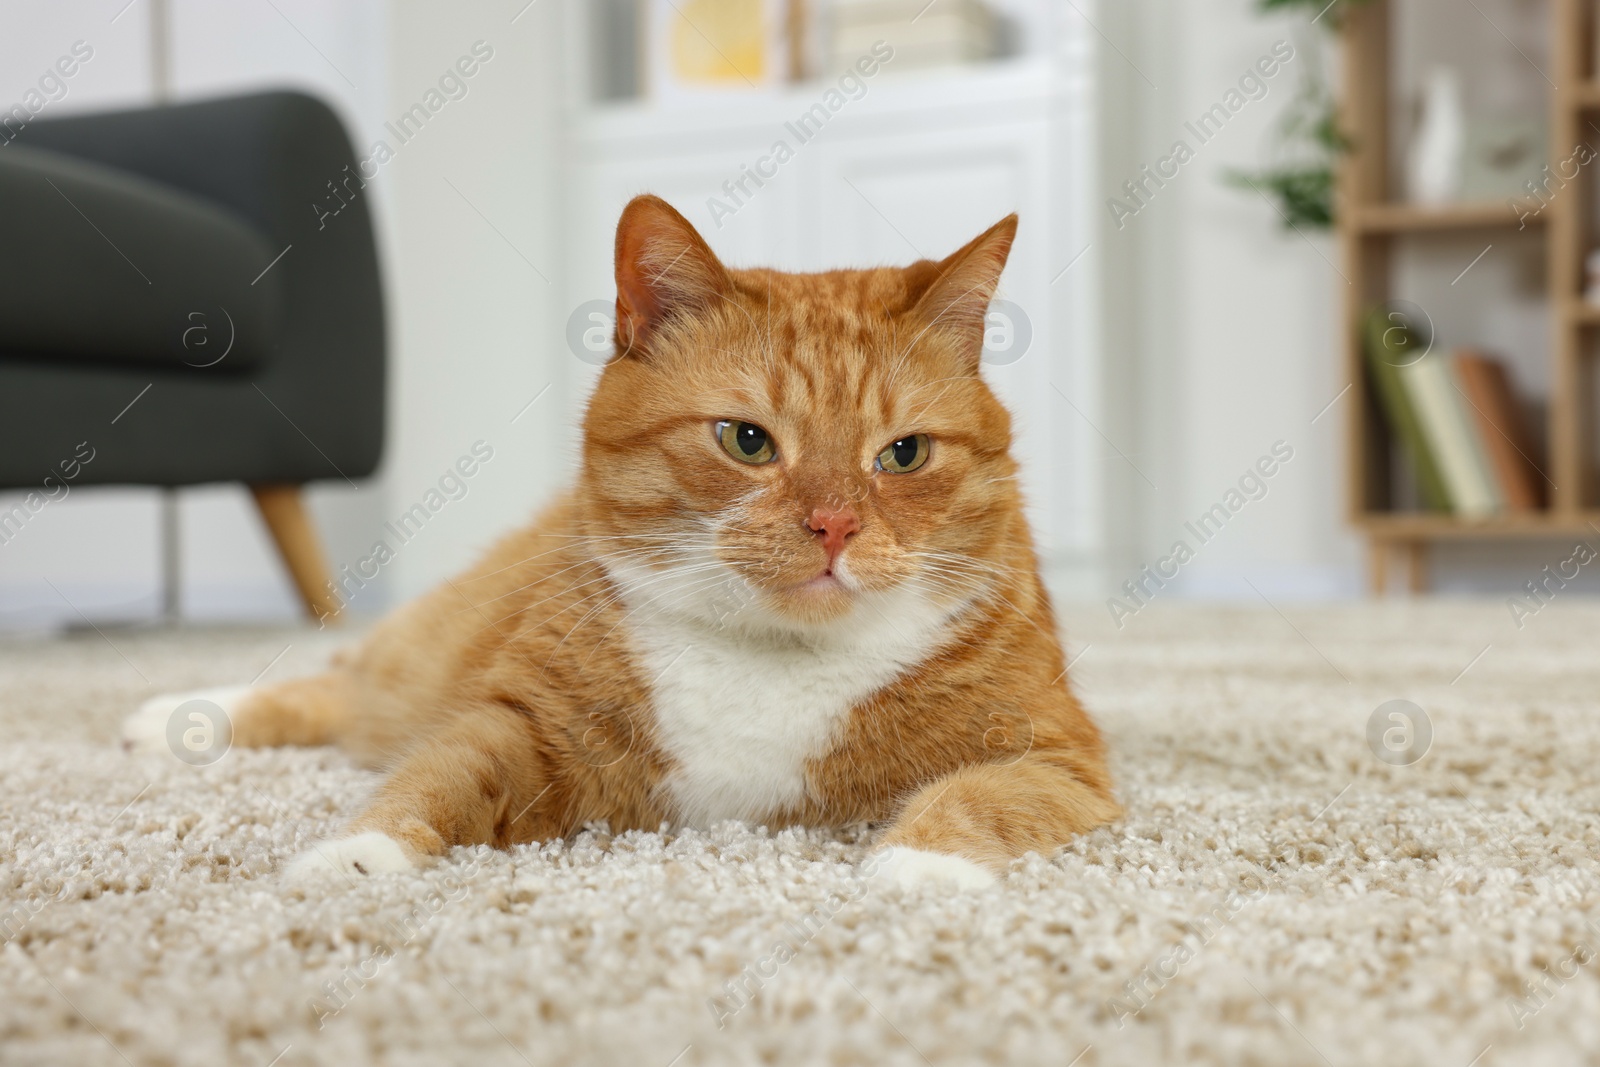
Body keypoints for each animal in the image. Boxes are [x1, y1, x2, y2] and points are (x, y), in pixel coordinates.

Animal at [128, 195, 1113, 889]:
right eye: (747, 441)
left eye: (903, 453)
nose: (834, 524)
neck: (771, 660)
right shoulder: (519, 722)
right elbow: (436, 773)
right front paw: (358, 853)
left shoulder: (1062, 757)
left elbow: (985, 795)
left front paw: (918, 863)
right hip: (421, 658)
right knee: (342, 684)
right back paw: (182, 714)